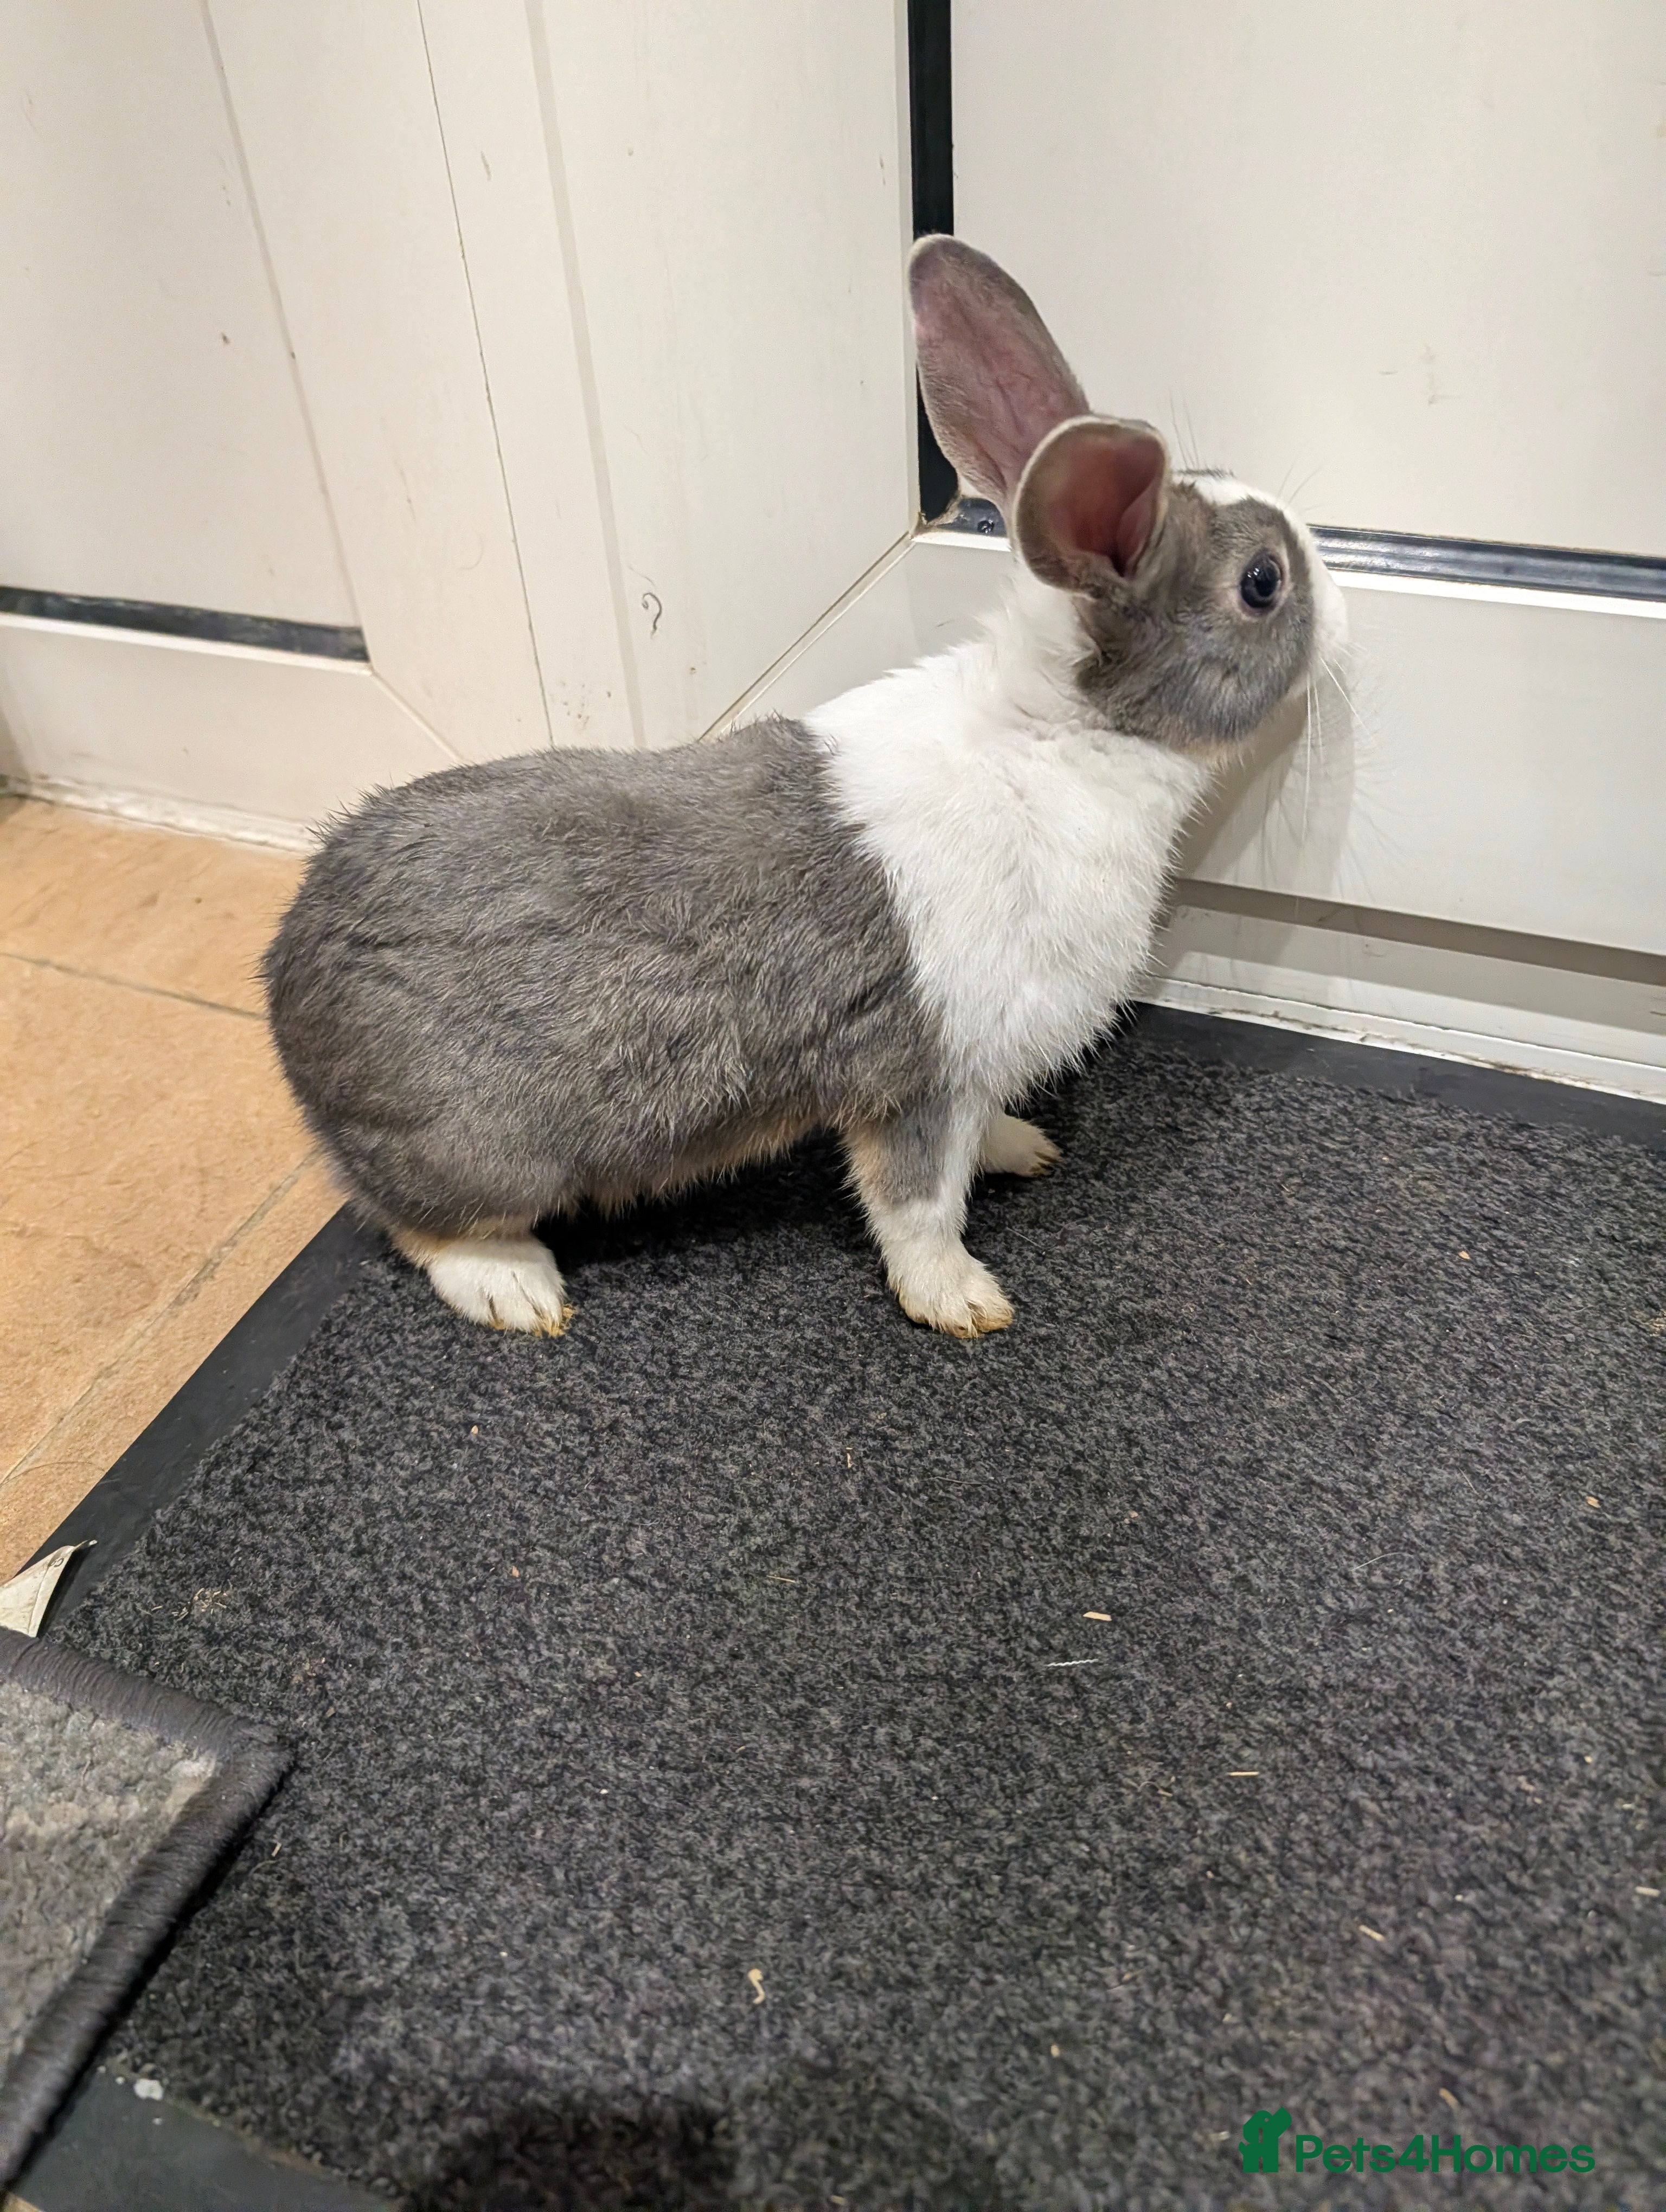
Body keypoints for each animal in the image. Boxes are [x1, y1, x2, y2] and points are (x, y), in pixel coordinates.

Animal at [265, 234, 1346, 1341]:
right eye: (1263, 583)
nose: (1343, 606)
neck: (1058, 736)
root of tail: (287, 978)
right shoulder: (923, 1073)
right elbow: (916, 1201)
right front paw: (960, 1301)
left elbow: (972, 1145)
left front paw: (1019, 1146)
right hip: (484, 1151)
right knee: (418, 1223)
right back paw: (516, 1290)